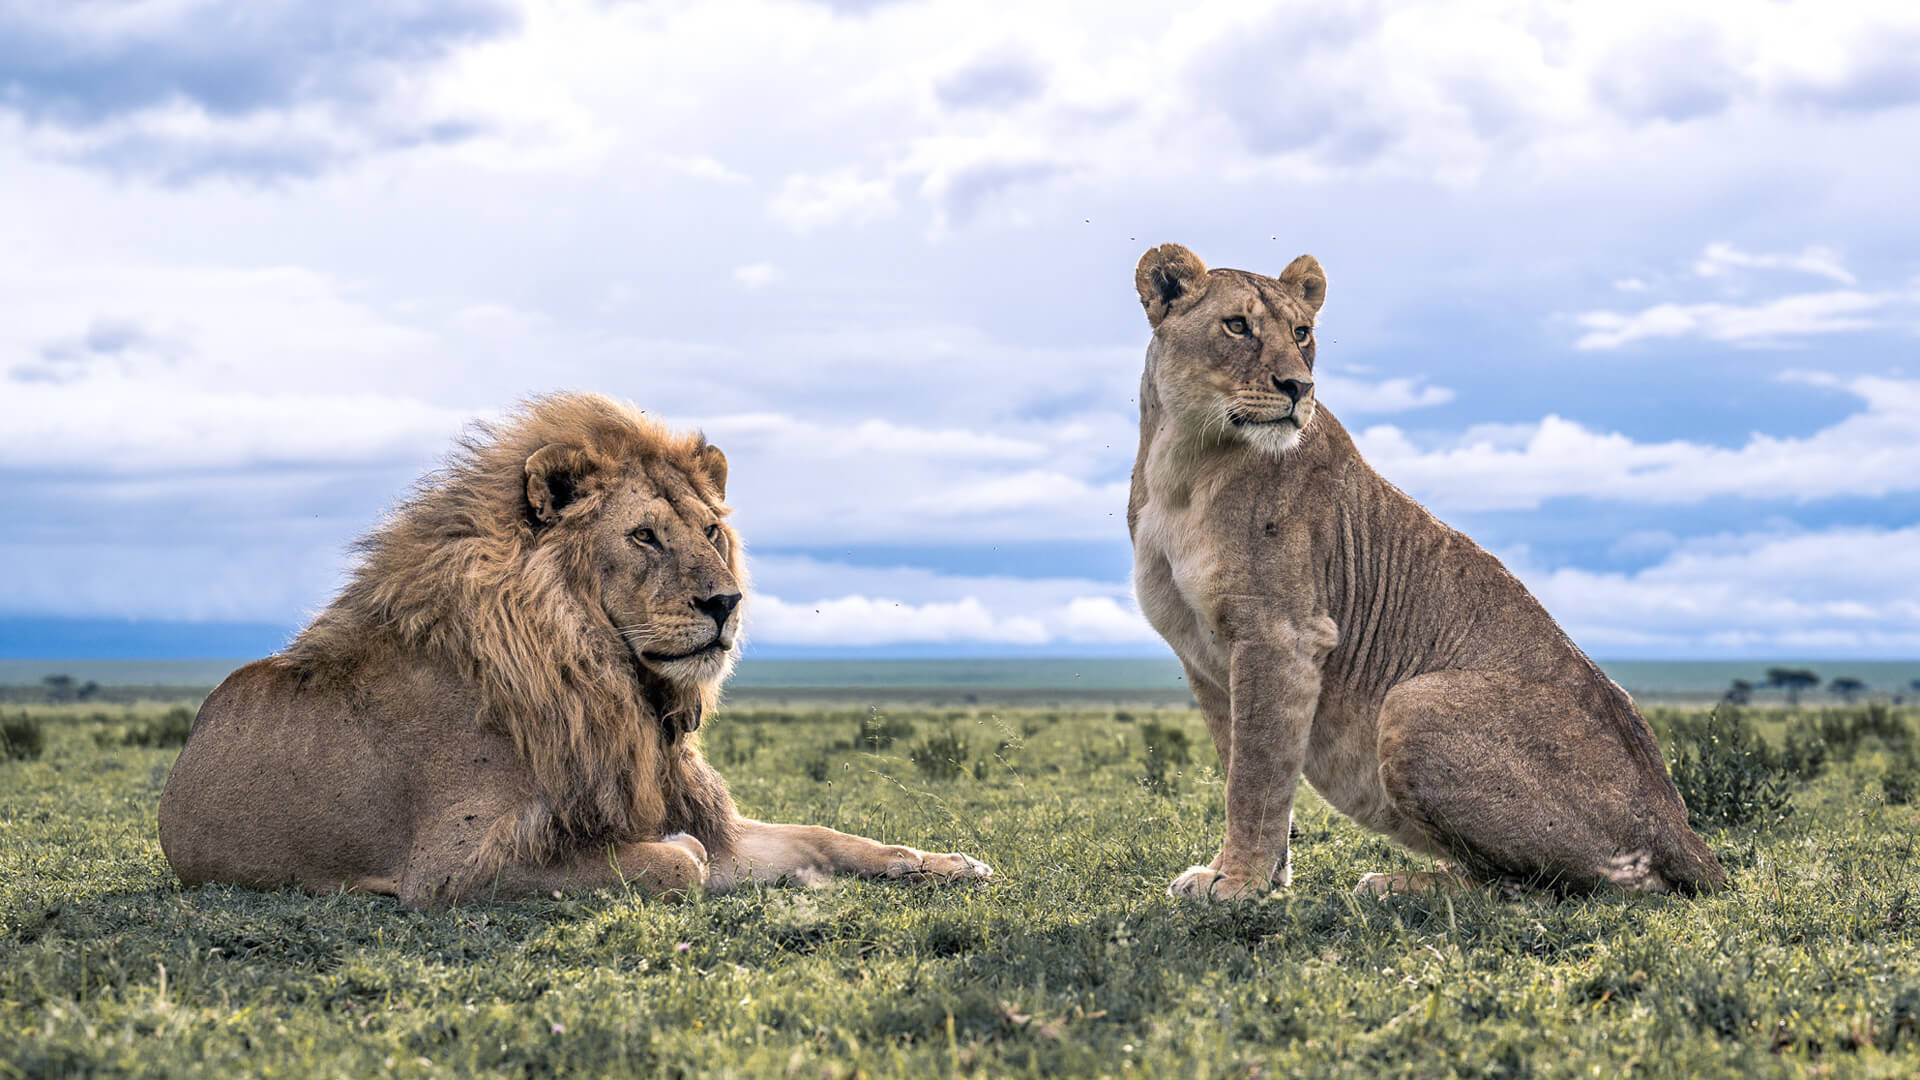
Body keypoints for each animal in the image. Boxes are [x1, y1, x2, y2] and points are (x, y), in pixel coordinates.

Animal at [158, 392, 991, 908]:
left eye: (710, 531)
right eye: (645, 535)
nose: (725, 603)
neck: (617, 687)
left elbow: (829, 836)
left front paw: (949, 863)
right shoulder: (450, 868)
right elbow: (678, 860)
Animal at [1127, 243, 1726, 899]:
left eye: (1301, 333)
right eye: (1237, 326)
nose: (1298, 386)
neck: (1183, 461)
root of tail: (1679, 825)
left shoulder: (1281, 634)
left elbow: (1254, 776)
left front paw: (1239, 883)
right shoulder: (1205, 655)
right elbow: (1245, 761)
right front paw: (1255, 876)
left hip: (1414, 702)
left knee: (1533, 887)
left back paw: (1396, 884)